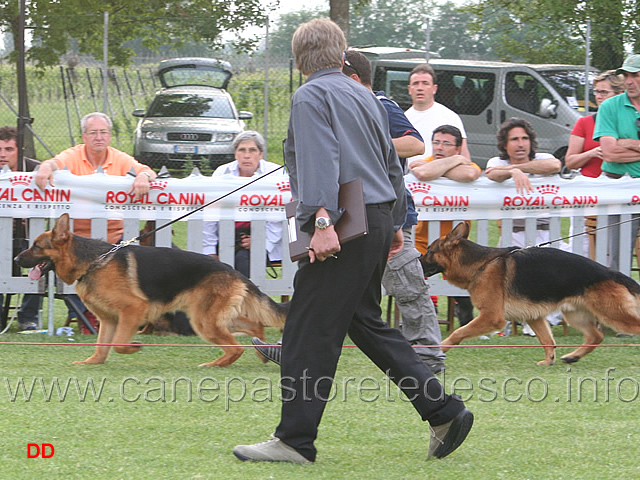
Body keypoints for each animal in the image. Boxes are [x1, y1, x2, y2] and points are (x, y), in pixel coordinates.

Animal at [15, 214, 286, 368]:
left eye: (37, 246)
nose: (16, 258)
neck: (92, 261)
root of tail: (232, 270)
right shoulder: (108, 320)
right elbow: (102, 347)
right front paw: (93, 362)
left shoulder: (132, 310)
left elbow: (118, 344)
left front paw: (134, 346)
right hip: (211, 319)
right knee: (254, 325)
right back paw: (260, 351)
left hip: (204, 322)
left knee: (236, 346)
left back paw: (215, 364)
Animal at [420, 223, 640, 366]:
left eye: (429, 251)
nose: (416, 261)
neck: (482, 264)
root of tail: (613, 273)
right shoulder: (534, 317)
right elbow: (548, 340)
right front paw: (548, 361)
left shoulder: (491, 317)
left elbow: (458, 332)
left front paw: (439, 348)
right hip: (575, 315)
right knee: (596, 335)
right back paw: (573, 356)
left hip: (613, 315)